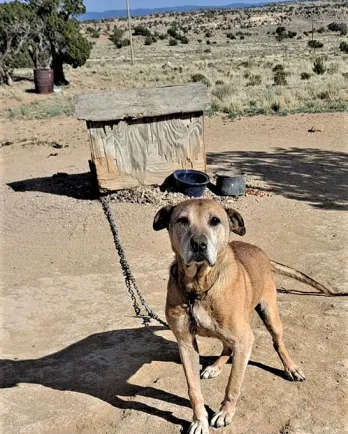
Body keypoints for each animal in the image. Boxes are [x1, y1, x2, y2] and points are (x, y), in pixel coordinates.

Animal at [153, 198, 332, 432]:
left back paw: (291, 368)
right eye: (182, 220)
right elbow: (194, 390)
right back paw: (215, 367)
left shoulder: (244, 340)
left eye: (215, 221)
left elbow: (233, 385)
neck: (200, 287)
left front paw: (225, 412)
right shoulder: (185, 343)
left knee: (278, 342)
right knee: (226, 347)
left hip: (270, 314)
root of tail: (261, 252)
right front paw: (199, 420)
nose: (199, 244)